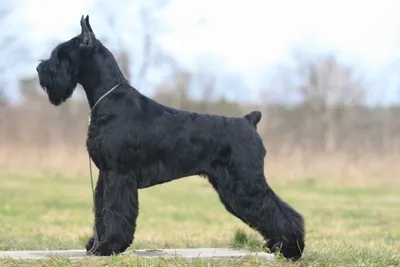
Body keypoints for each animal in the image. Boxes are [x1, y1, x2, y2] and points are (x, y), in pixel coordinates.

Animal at [37, 15, 304, 260]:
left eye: (61, 54)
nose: (40, 69)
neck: (110, 99)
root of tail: (249, 120)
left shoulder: (118, 174)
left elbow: (113, 211)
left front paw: (107, 247)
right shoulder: (106, 173)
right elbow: (101, 210)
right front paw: (95, 245)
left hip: (245, 182)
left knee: (280, 210)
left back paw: (290, 249)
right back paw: (279, 246)